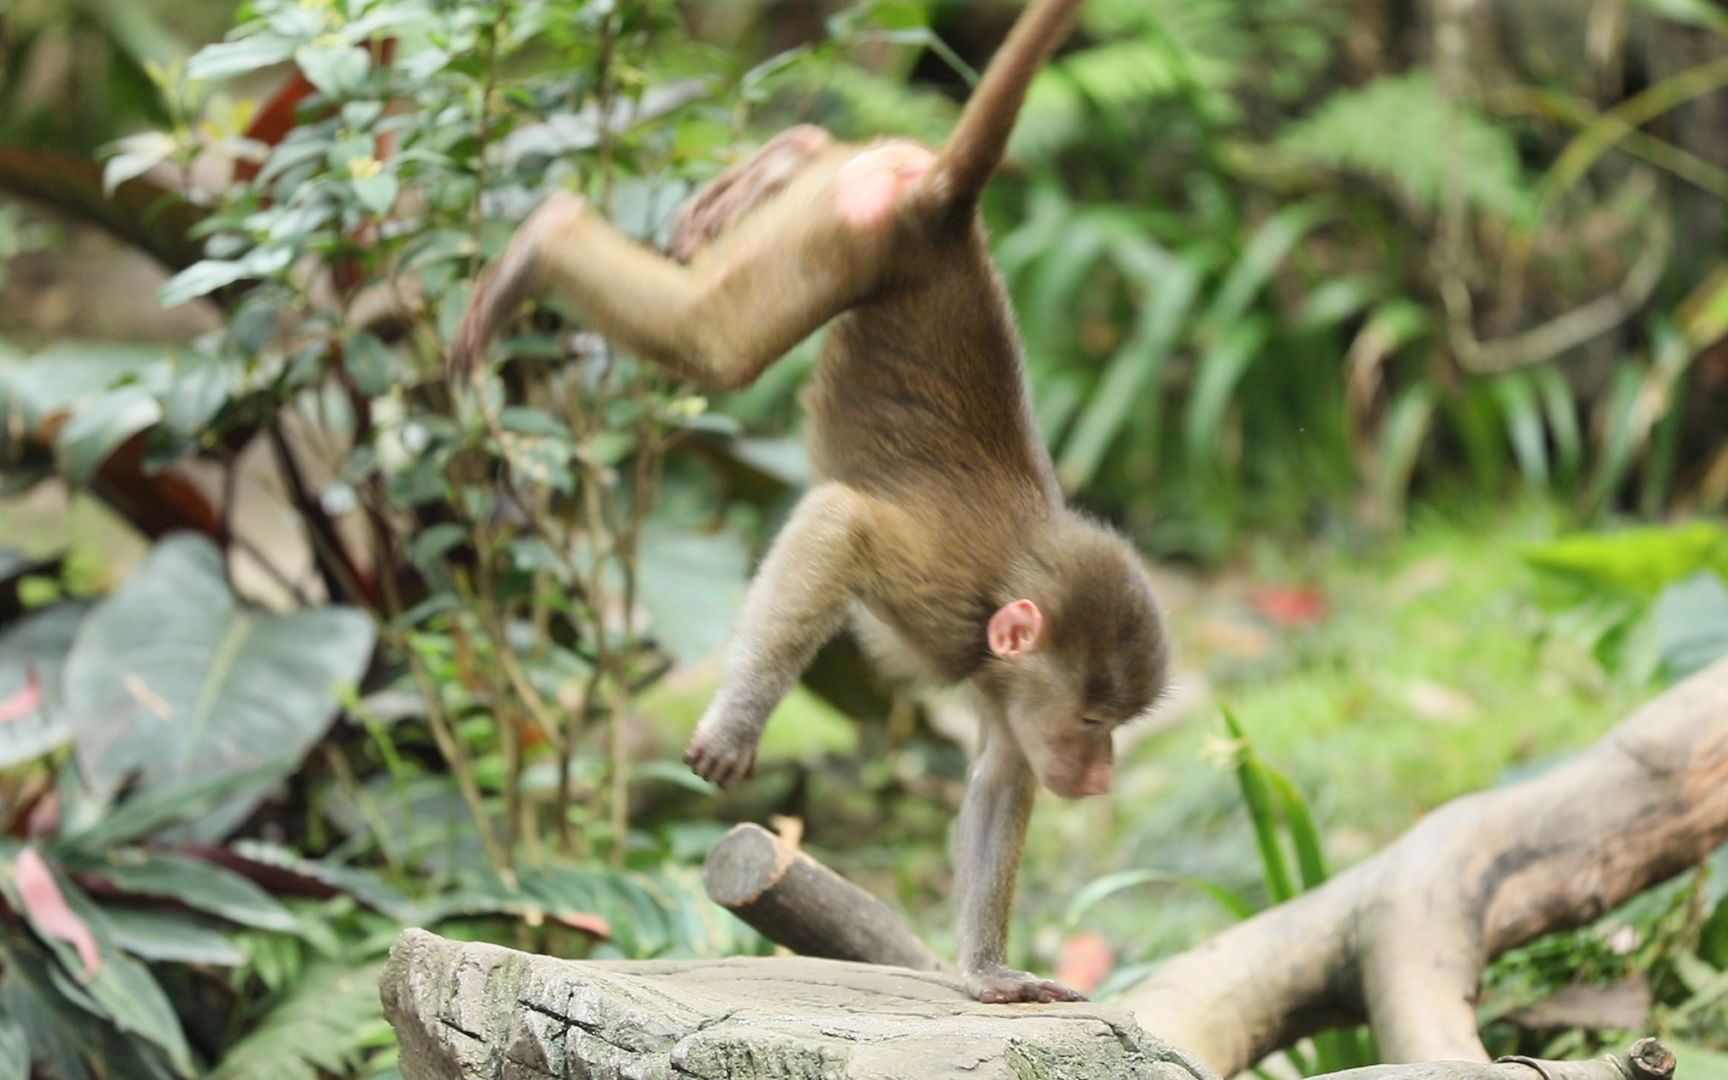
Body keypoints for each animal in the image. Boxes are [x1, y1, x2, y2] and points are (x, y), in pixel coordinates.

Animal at [452, 0, 1168, 1002]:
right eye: (1098, 723)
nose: (1101, 776)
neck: (1002, 601)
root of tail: (944, 212)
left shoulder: (1005, 689)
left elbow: (1001, 776)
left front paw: (990, 973)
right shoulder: (945, 598)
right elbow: (839, 524)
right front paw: (734, 726)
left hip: (848, 204)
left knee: (784, 225)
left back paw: (787, 155)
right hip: (849, 238)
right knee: (716, 344)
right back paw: (545, 238)